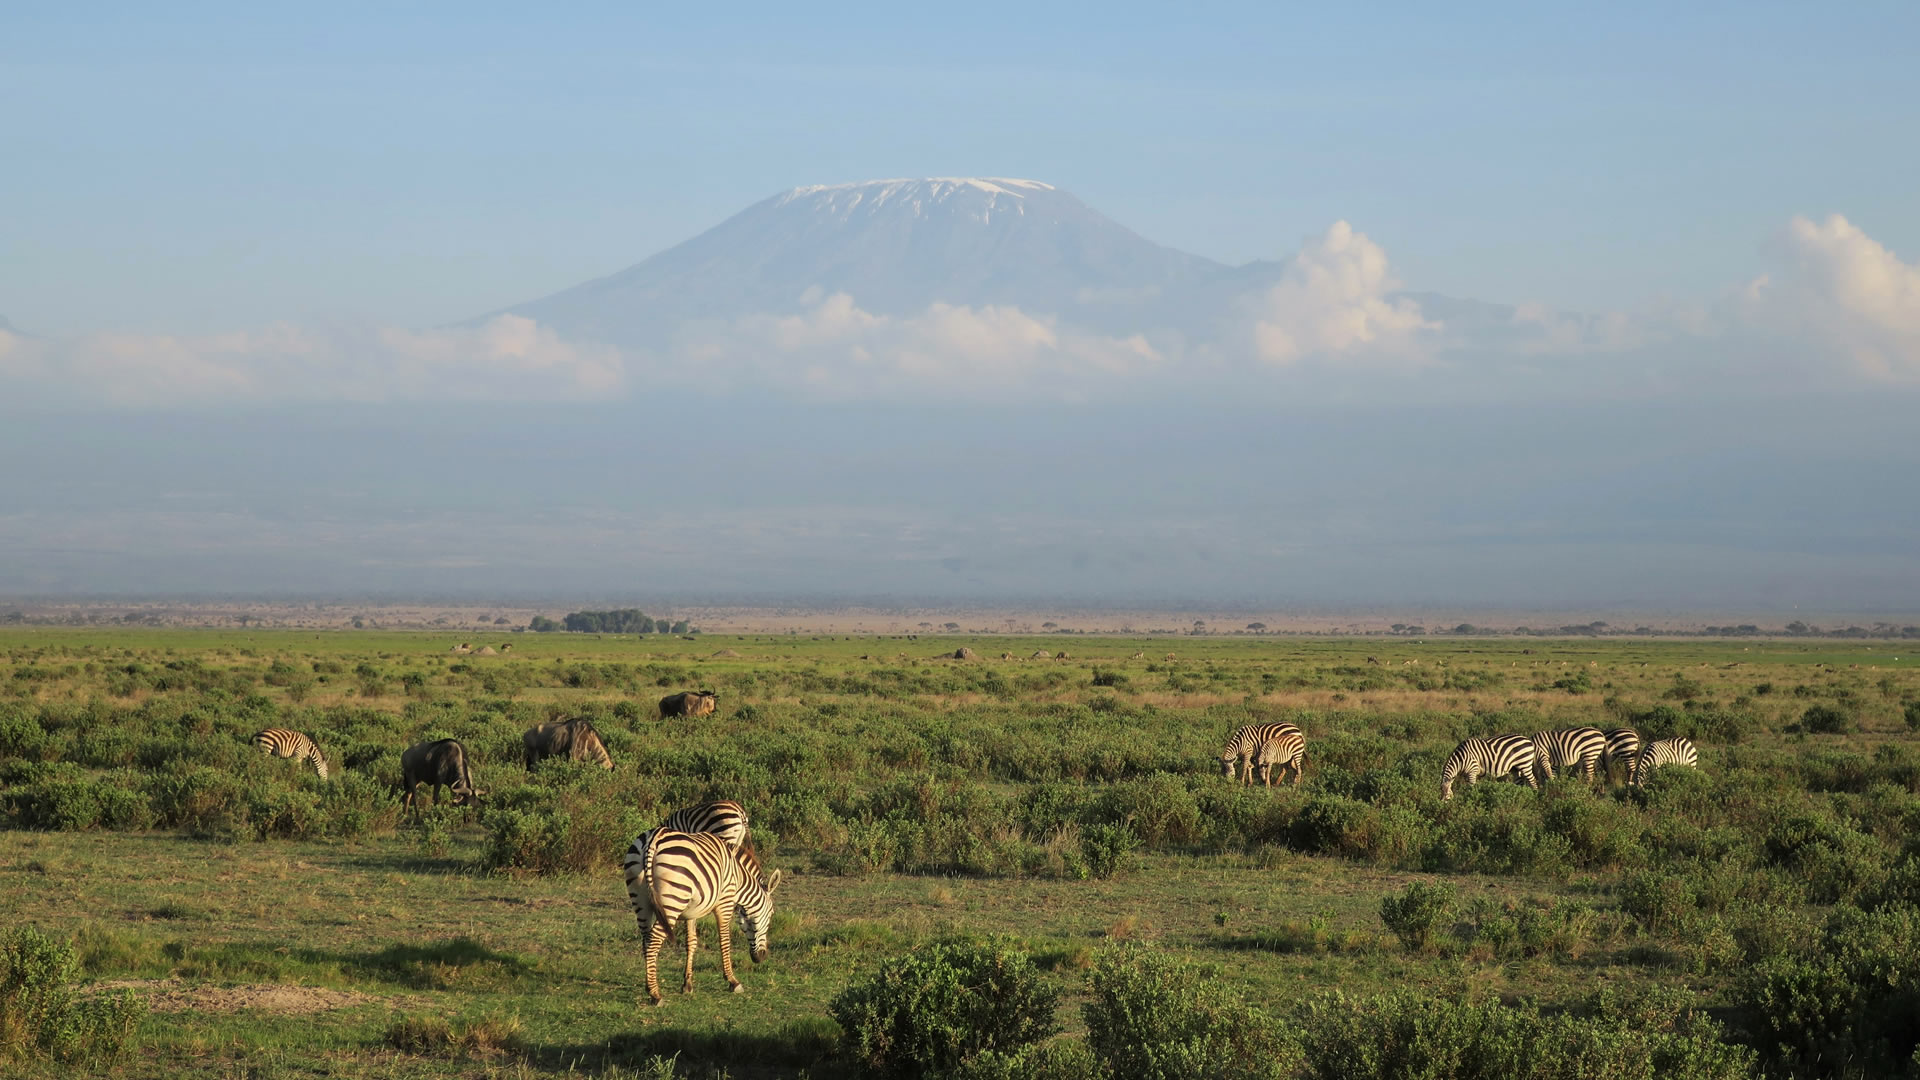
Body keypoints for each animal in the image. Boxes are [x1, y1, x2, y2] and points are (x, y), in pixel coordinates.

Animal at [622, 830, 781, 1005]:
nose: (761, 957)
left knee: (645, 940)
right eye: (771, 914)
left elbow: (691, 942)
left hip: (640, 898)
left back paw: (649, 986)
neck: (739, 877)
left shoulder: (691, 912)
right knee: (653, 941)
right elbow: (724, 941)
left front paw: (687, 985)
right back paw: (655, 994)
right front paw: (732, 981)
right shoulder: (724, 902)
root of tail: (653, 839)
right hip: (673, 900)